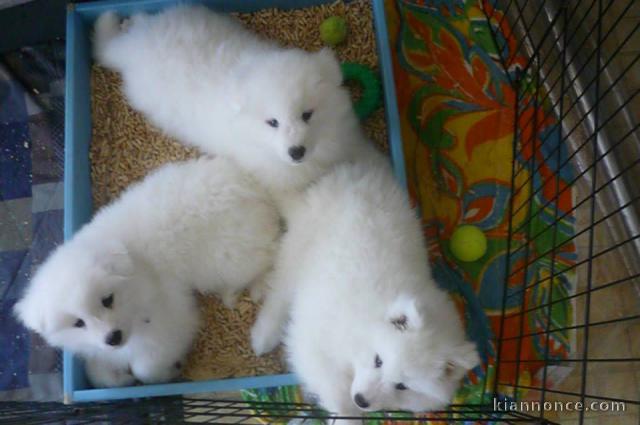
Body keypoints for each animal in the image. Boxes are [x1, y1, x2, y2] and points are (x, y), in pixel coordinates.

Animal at [14, 155, 280, 384]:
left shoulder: (174, 318)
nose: (113, 338)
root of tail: (246, 184)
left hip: (228, 260)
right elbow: (100, 373)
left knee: (268, 255)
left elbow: (145, 368)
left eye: (107, 300)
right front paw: (120, 377)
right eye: (78, 323)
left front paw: (169, 370)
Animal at [95, 5, 376, 211]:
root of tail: (132, 51)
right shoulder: (274, 181)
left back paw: (126, 23)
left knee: (139, 21)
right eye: (272, 122)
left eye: (307, 115)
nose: (296, 152)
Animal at [252, 152, 478, 418]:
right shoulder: (312, 341)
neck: (366, 321)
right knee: (279, 293)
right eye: (378, 361)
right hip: (299, 249)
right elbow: (335, 389)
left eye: (402, 386)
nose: (362, 400)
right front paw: (346, 412)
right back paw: (263, 336)